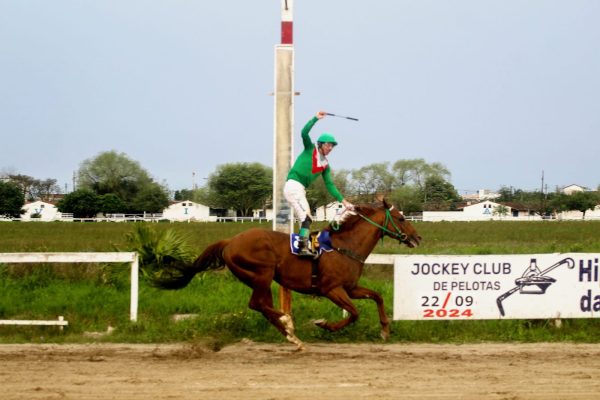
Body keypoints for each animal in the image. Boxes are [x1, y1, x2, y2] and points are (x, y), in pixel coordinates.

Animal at [152, 200, 420, 350]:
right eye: (401, 218)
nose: (417, 238)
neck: (345, 246)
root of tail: (230, 241)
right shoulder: (331, 289)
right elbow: (354, 313)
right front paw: (325, 325)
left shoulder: (350, 287)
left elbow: (377, 297)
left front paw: (385, 329)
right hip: (262, 273)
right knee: (257, 303)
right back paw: (288, 325)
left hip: (259, 278)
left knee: (262, 305)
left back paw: (291, 335)